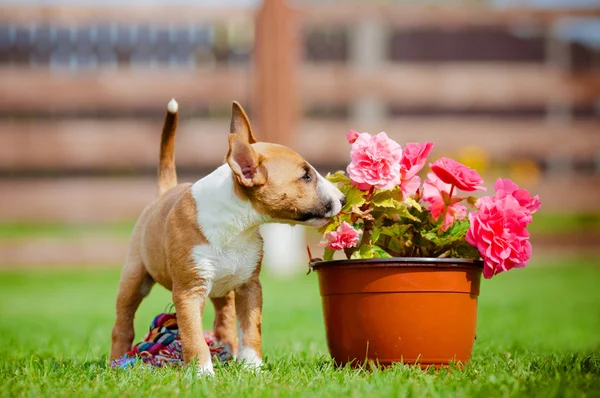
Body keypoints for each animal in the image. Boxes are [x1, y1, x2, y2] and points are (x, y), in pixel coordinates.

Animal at [110, 99, 344, 376]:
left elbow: (251, 328)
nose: (342, 199)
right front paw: (202, 373)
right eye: (305, 176)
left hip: (224, 288)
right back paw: (116, 361)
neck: (235, 227)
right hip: (135, 276)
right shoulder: (189, 291)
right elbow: (193, 334)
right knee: (123, 322)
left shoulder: (249, 286)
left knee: (224, 322)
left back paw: (228, 353)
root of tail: (164, 193)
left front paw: (252, 367)